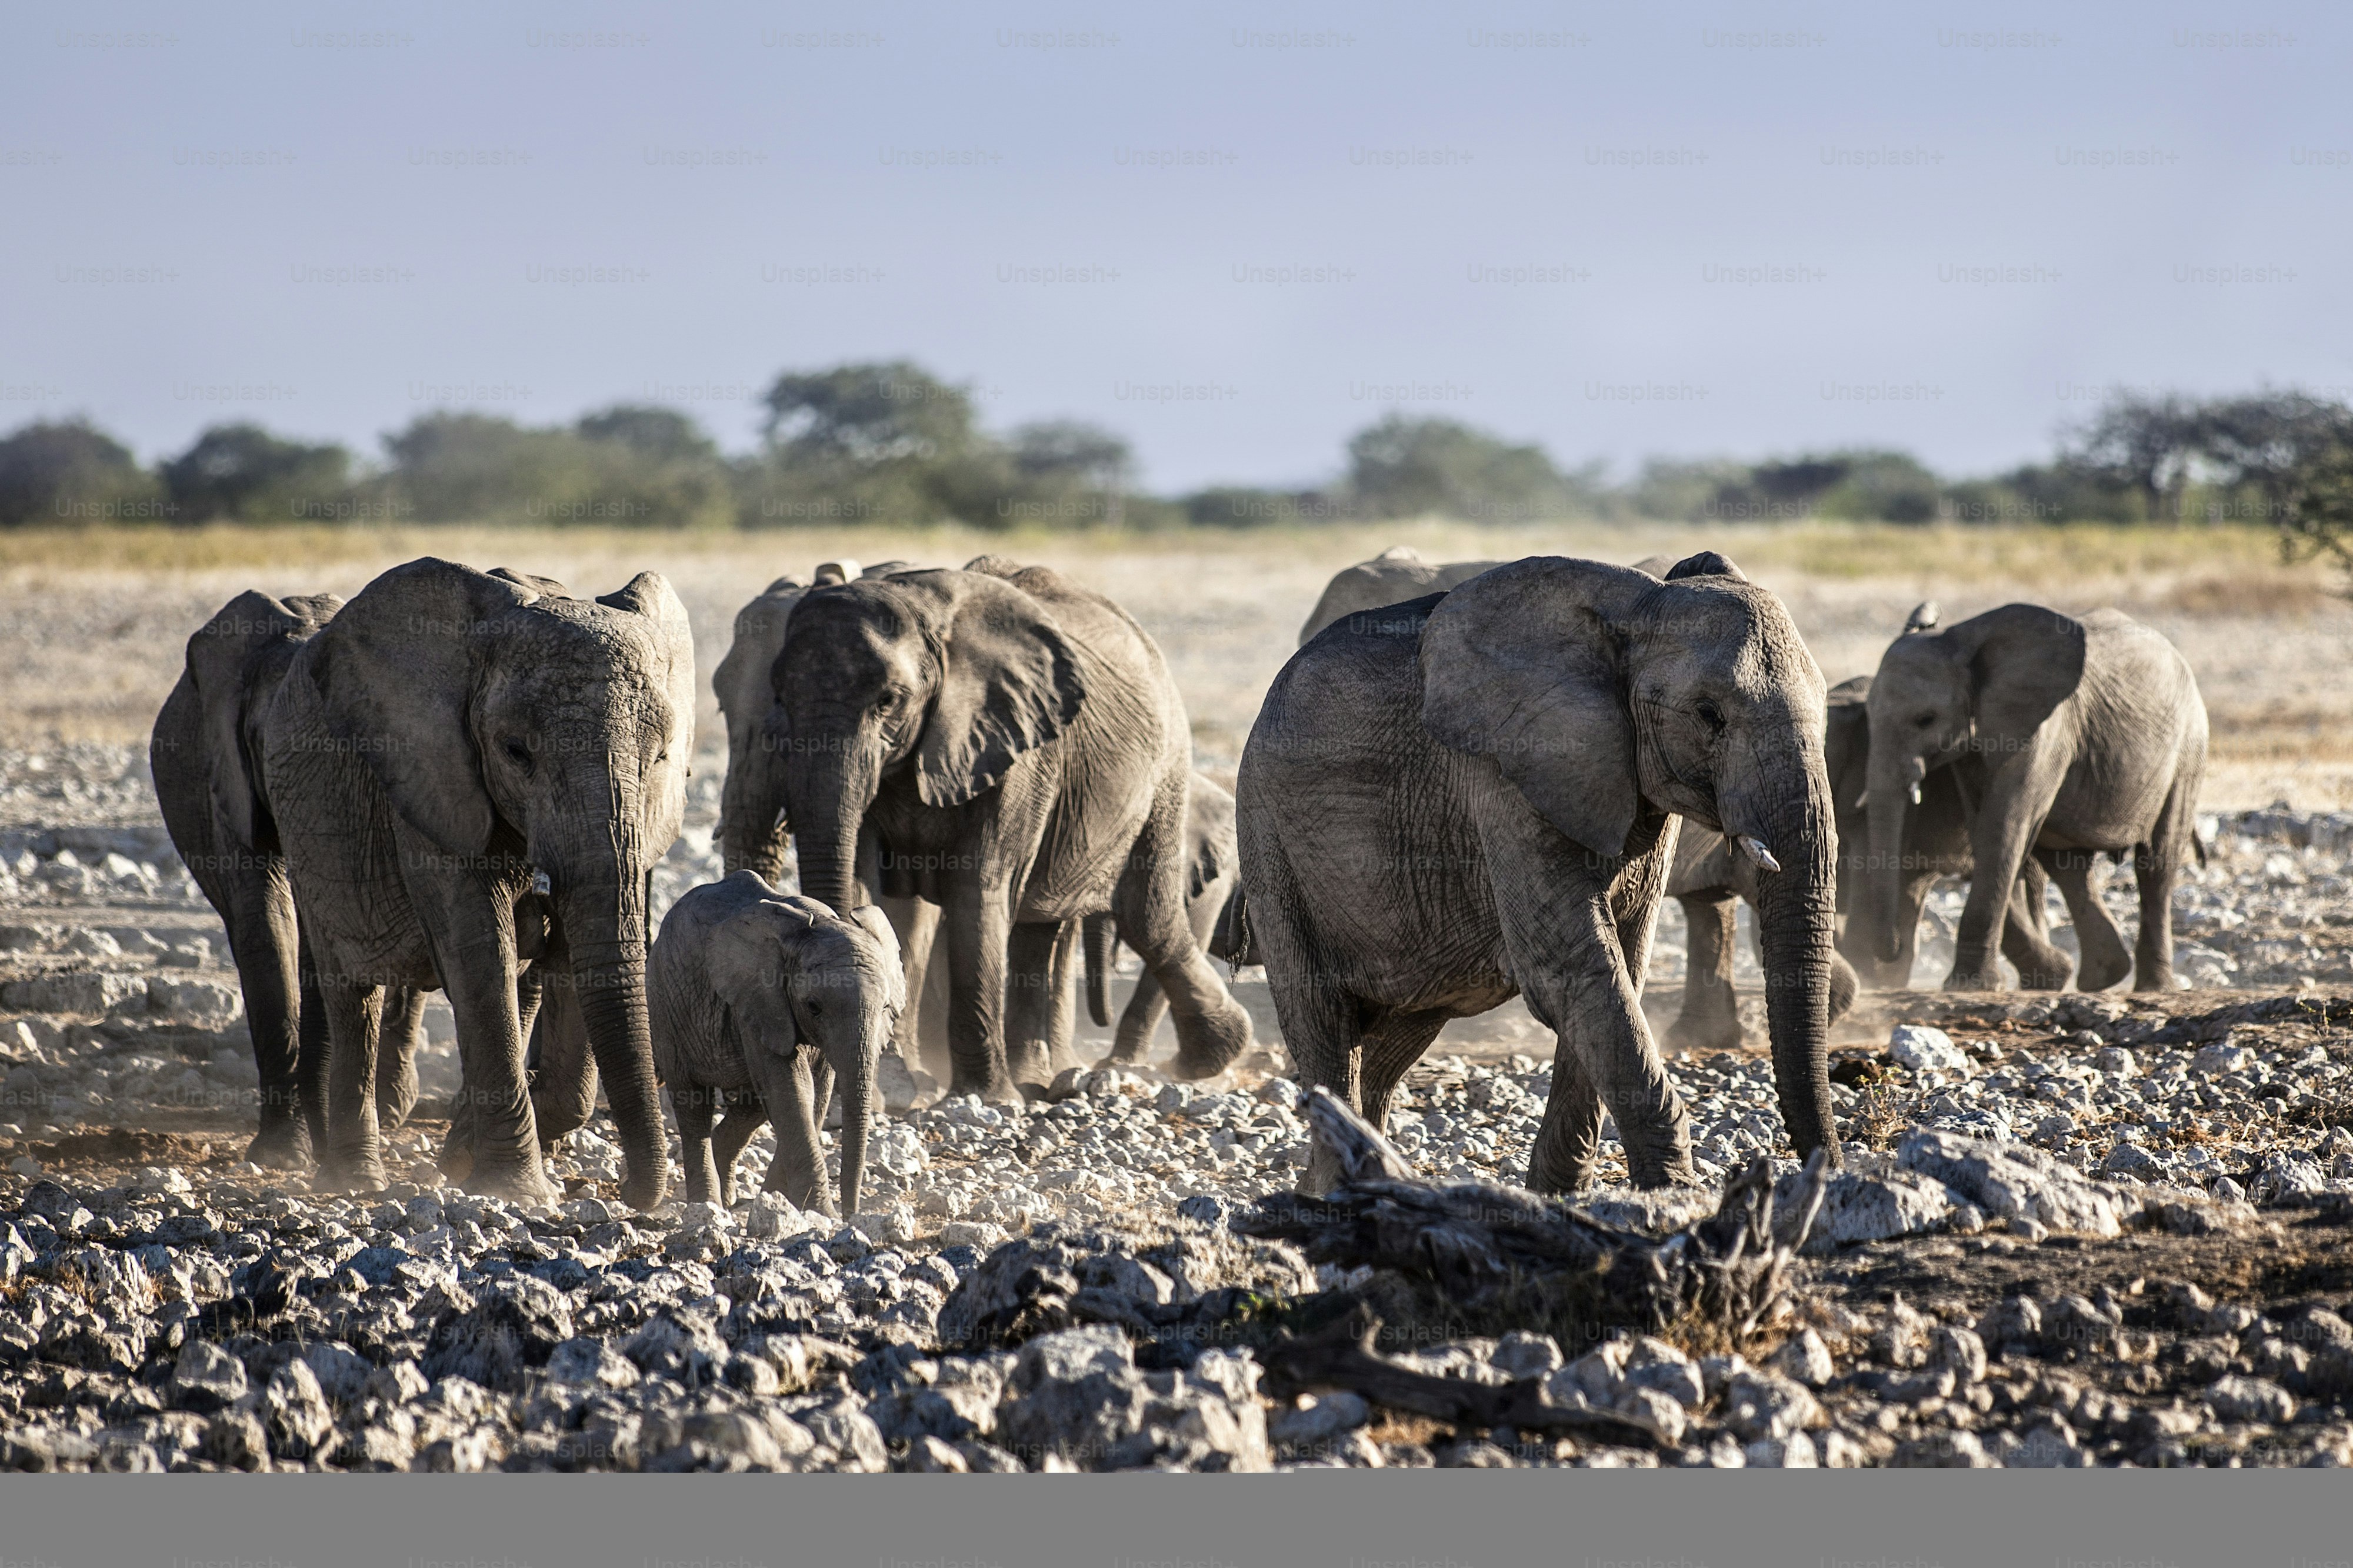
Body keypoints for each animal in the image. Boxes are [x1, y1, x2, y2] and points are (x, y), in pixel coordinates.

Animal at [258, 558, 695, 1208]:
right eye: (515, 751)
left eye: (662, 756)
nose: (635, 1197)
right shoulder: (427, 777)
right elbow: (479, 952)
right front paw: (517, 1190)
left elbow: (568, 953)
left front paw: (468, 1158)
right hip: (307, 824)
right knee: (352, 994)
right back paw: (355, 1180)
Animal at [650, 872, 904, 1214]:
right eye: (813, 1007)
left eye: (886, 1008)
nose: (851, 1214)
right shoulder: (759, 1000)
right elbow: (792, 1089)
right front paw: (819, 1214)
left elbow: (815, 1095)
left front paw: (782, 1203)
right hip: (666, 1008)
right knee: (693, 1104)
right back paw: (708, 1207)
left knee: (752, 1105)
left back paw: (729, 1199)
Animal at [774, 556, 1253, 1102]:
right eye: (779, 697)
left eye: (889, 700)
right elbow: (890, 901)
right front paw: (898, 1090)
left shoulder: (1019, 749)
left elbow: (976, 889)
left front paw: (985, 1098)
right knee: (1039, 926)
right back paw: (1036, 1078)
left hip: (1167, 767)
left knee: (1146, 915)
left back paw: (1204, 1058)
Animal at [1236, 552, 1843, 1194]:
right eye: (1710, 716)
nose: (1830, 1167)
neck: (1636, 603)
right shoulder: (1504, 773)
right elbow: (1571, 969)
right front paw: (1671, 1193)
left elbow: (1619, 966)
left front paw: (1558, 1195)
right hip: (1269, 842)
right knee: (1323, 1024)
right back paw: (1341, 1187)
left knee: (1393, 1040)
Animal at [1863, 603, 2207, 992]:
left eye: (1926, 719)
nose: (1893, 951)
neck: (1964, 640)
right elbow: (1985, 827)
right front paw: (2044, 976)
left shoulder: (2045, 729)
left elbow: (2005, 825)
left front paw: (1969, 986)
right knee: (2070, 866)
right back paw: (2103, 978)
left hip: (2189, 748)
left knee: (2156, 863)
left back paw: (2152, 987)